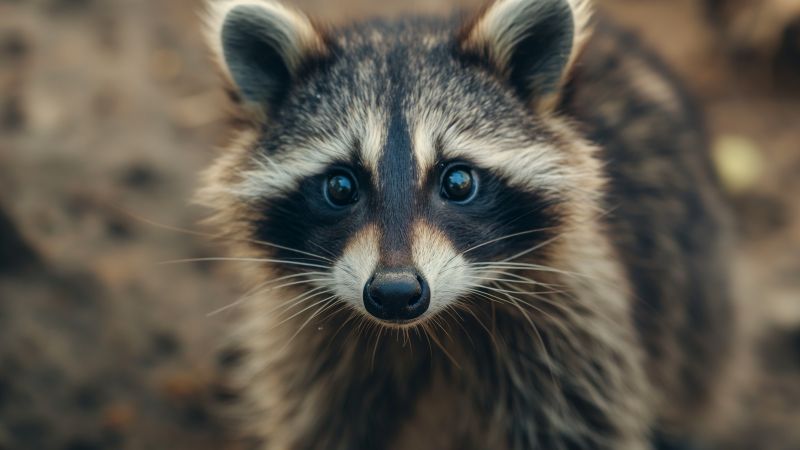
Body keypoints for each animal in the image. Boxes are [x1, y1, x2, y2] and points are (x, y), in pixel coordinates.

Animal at [199, 0, 735, 448]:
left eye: (457, 181)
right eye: (341, 187)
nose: (395, 293)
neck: (426, 331)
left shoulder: (574, 340)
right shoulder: (316, 359)